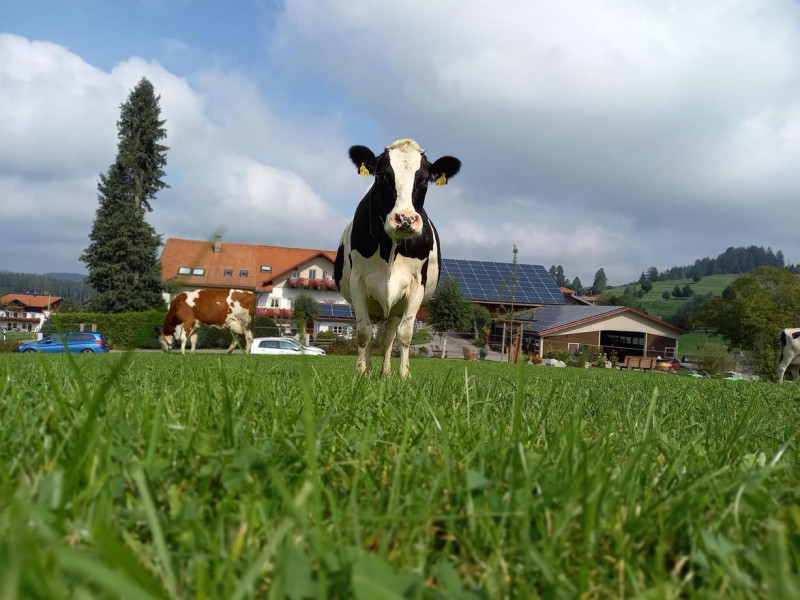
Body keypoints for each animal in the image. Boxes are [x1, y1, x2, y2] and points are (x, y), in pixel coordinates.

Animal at [332, 138, 462, 378]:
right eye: (382, 175)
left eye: (424, 180)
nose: (406, 219)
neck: (390, 249)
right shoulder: (357, 281)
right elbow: (363, 332)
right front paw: (360, 373)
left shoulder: (416, 284)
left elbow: (405, 333)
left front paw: (404, 375)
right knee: (370, 332)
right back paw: (370, 371)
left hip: (395, 309)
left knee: (388, 337)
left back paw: (386, 373)